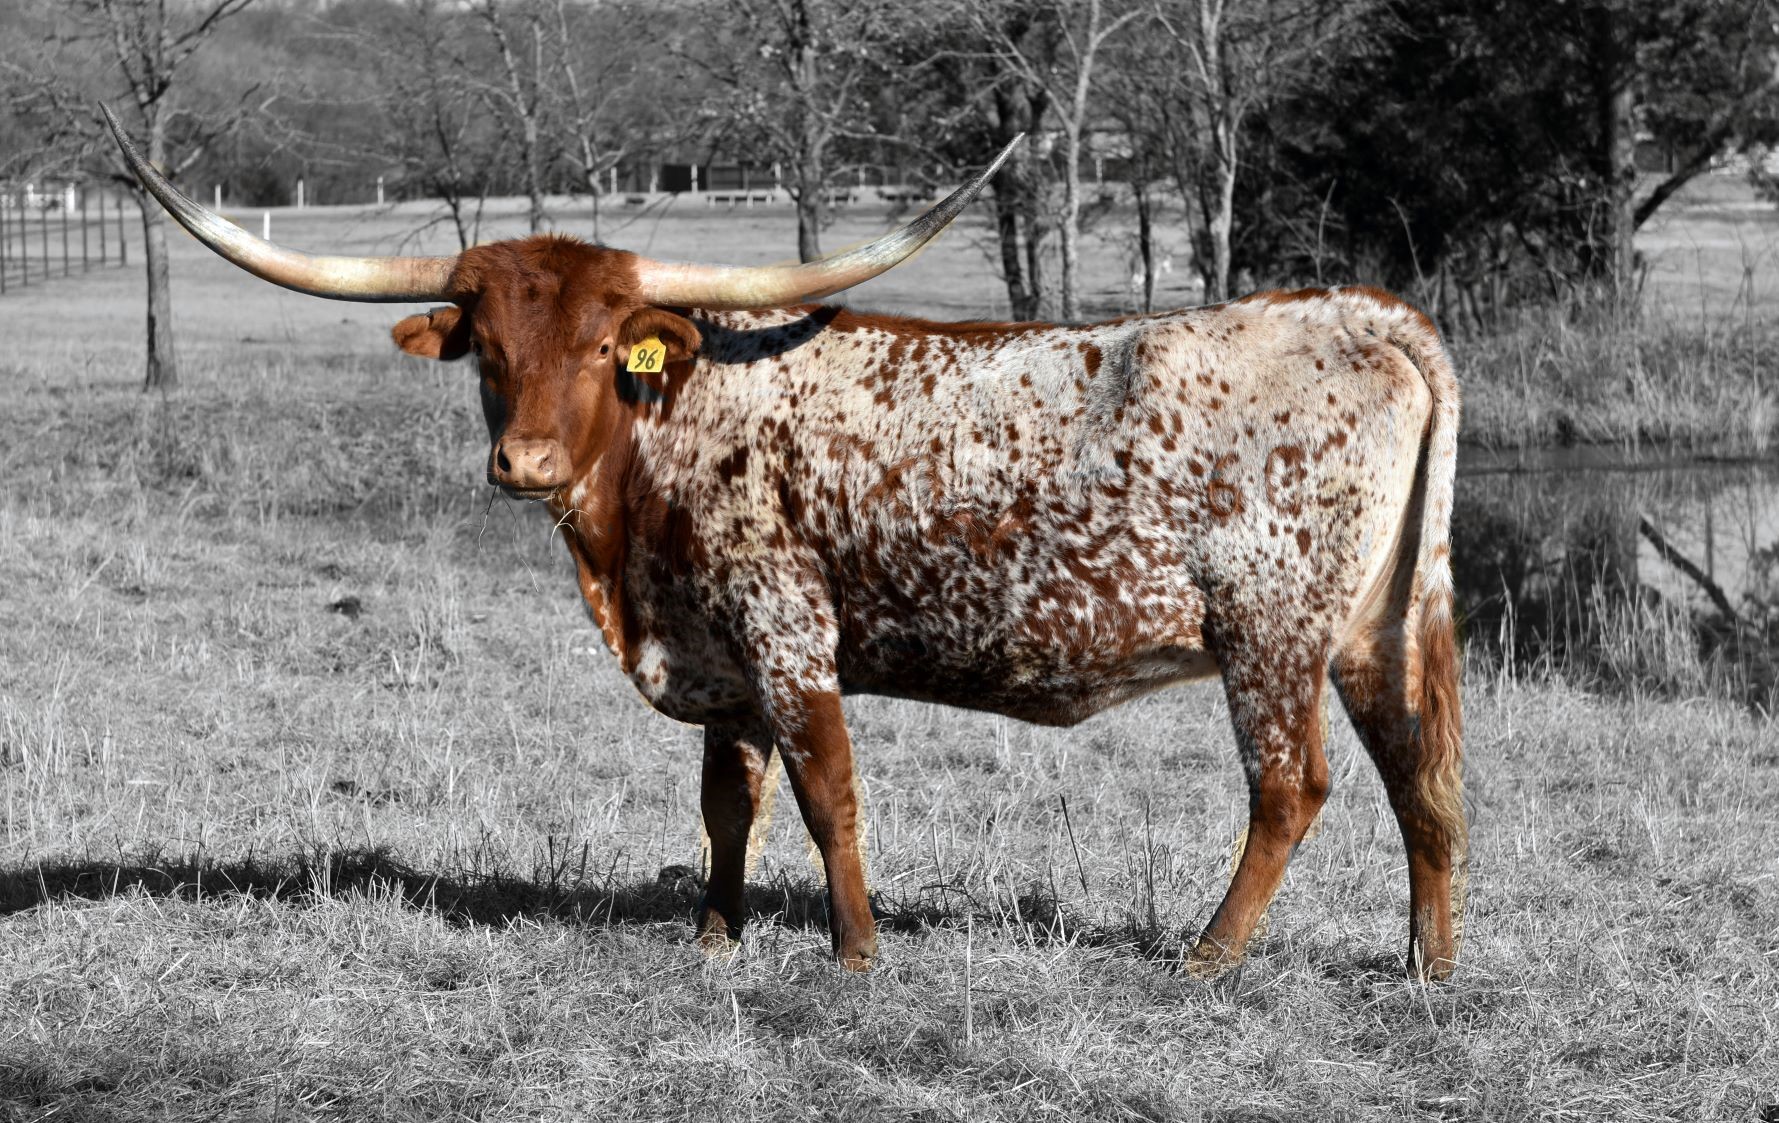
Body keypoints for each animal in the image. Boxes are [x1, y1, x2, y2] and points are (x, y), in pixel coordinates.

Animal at [105, 106, 1466, 981]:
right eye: (487, 345)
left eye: (603, 345)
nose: (525, 463)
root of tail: (1359, 312)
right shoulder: (716, 658)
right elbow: (726, 801)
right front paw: (718, 933)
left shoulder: (785, 633)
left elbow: (825, 794)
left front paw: (855, 950)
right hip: (1380, 625)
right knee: (1422, 774)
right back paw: (1429, 963)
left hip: (1268, 631)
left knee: (1293, 787)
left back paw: (1207, 956)